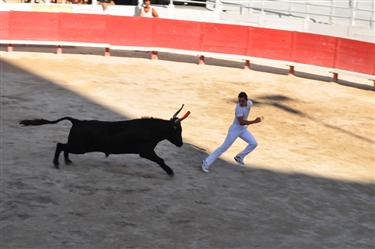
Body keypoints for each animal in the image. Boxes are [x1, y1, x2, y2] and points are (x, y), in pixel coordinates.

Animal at [19, 105, 191, 177]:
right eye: (178, 130)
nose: (181, 143)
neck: (150, 129)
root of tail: (77, 121)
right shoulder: (146, 152)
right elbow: (161, 160)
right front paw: (170, 172)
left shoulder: (147, 152)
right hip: (80, 147)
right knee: (60, 145)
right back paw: (56, 163)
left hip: (77, 146)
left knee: (64, 147)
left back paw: (67, 161)